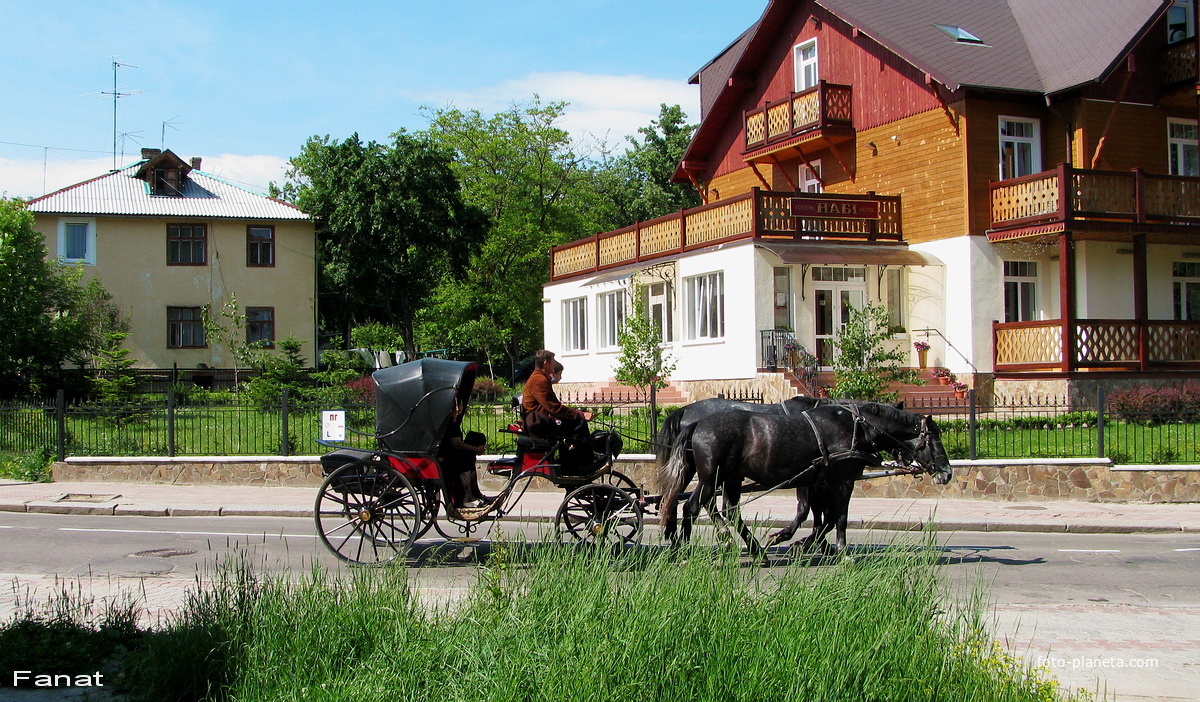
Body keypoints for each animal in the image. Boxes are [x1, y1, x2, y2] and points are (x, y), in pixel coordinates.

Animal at [662, 403, 950, 556]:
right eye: (934, 440)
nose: (947, 473)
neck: (854, 427)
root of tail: (698, 423)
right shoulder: (842, 480)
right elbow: (836, 516)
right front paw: (838, 550)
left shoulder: (818, 480)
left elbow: (820, 516)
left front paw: (806, 542)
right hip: (713, 476)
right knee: (693, 506)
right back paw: (687, 550)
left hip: (729, 476)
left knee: (724, 510)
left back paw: (753, 550)